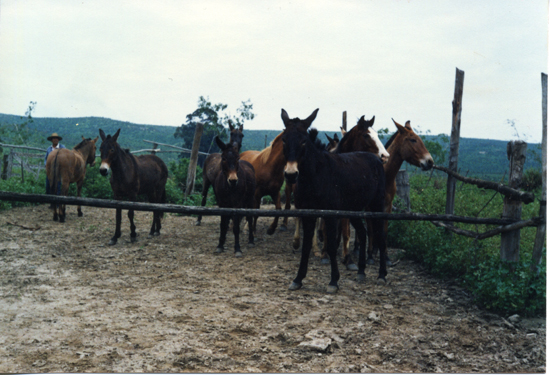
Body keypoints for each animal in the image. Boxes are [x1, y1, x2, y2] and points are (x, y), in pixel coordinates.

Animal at [280, 108, 388, 294]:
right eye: (284, 139)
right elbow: (306, 246)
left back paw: (381, 275)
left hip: (376, 206)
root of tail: (375, 159)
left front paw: (333, 281)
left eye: (303, 141)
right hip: (353, 210)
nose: (291, 174)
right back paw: (361, 271)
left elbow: (331, 245)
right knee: (362, 232)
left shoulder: (330, 216)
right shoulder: (308, 214)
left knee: (379, 235)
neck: (315, 175)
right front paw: (298, 279)